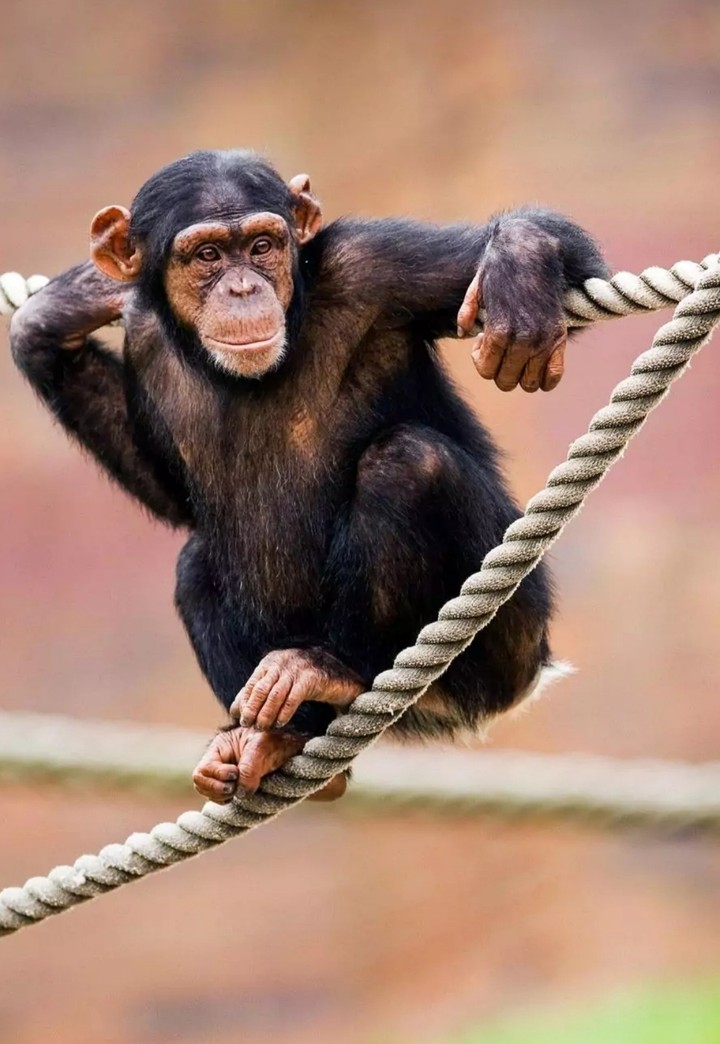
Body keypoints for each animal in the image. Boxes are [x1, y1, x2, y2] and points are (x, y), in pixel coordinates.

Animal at [9, 150, 607, 803]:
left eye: (263, 245)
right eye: (207, 255)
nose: (243, 286)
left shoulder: (374, 263)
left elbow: (560, 269)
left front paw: (519, 273)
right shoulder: (145, 336)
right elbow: (171, 496)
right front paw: (58, 314)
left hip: (505, 646)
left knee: (408, 463)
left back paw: (330, 671)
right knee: (196, 560)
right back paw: (270, 742)